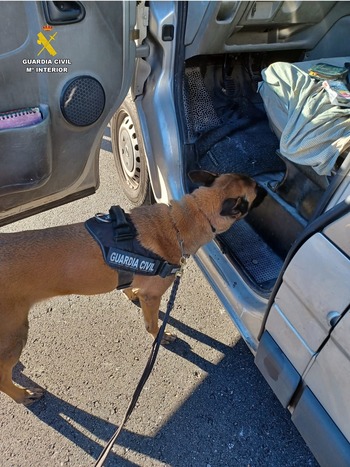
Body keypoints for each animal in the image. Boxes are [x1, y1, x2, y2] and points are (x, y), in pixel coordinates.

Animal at [0, 171, 262, 406]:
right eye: (257, 190)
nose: (267, 185)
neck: (184, 218)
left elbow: (128, 288)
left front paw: (130, 294)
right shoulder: (153, 297)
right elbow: (153, 325)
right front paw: (161, 337)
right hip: (15, 335)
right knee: (3, 377)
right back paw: (22, 395)